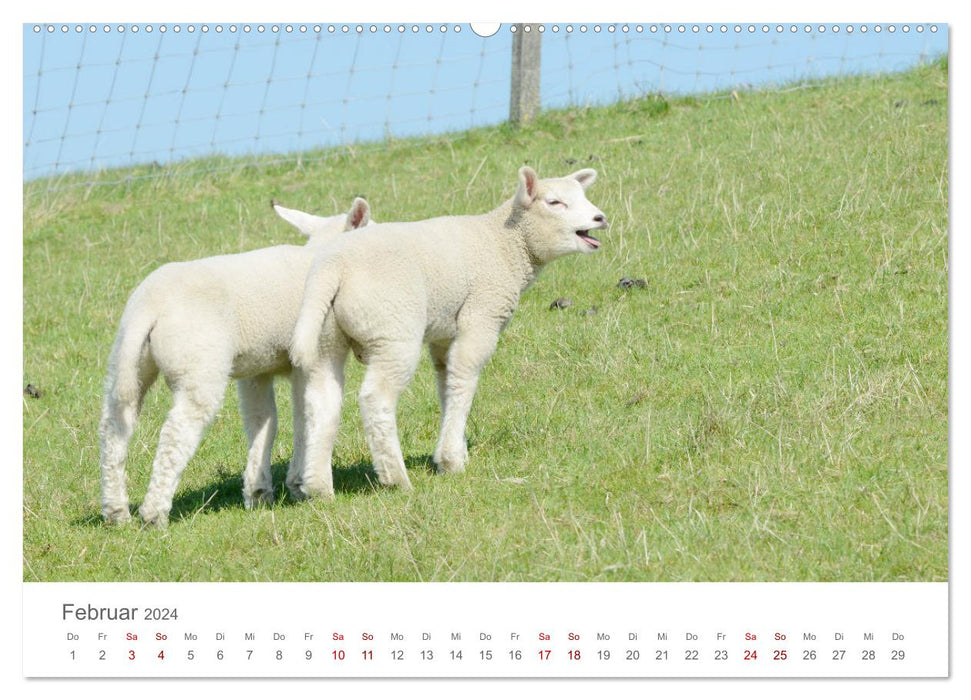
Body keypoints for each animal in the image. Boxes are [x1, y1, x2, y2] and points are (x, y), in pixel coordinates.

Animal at [98, 197, 372, 524]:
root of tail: (148, 306)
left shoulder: (260, 368)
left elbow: (265, 421)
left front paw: (260, 492)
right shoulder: (316, 354)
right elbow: (310, 416)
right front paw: (306, 486)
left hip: (127, 361)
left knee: (115, 425)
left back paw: (116, 511)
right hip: (198, 364)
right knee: (176, 433)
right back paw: (154, 514)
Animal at [288, 167, 608, 500]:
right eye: (554, 202)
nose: (600, 218)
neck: (503, 243)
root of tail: (333, 267)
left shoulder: (445, 332)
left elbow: (446, 383)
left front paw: (456, 448)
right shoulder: (481, 315)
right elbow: (464, 378)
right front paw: (452, 460)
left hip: (325, 337)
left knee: (321, 402)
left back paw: (319, 487)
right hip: (394, 331)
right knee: (376, 398)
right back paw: (395, 477)